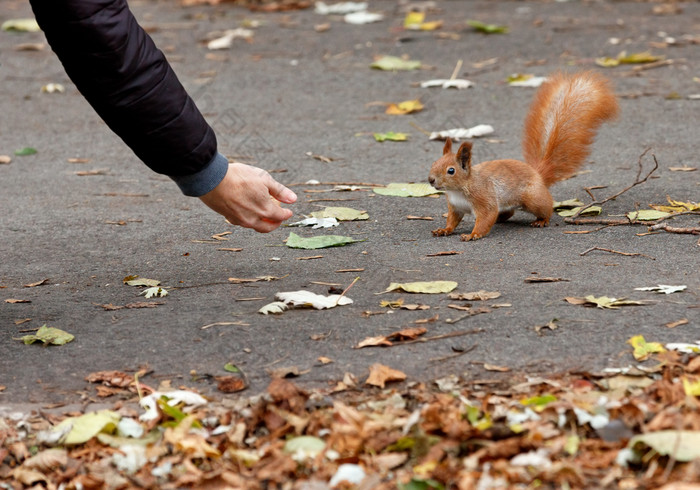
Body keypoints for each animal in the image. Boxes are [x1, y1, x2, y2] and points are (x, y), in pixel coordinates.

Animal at [426, 71, 616, 241]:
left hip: (533, 199)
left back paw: (542, 220)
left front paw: (473, 234)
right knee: (508, 212)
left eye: (451, 170)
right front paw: (444, 230)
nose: (431, 180)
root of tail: (537, 174)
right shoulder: (455, 207)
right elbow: (453, 220)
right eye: (434, 163)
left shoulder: (484, 199)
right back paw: (501, 220)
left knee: (546, 207)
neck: (458, 189)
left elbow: (486, 217)